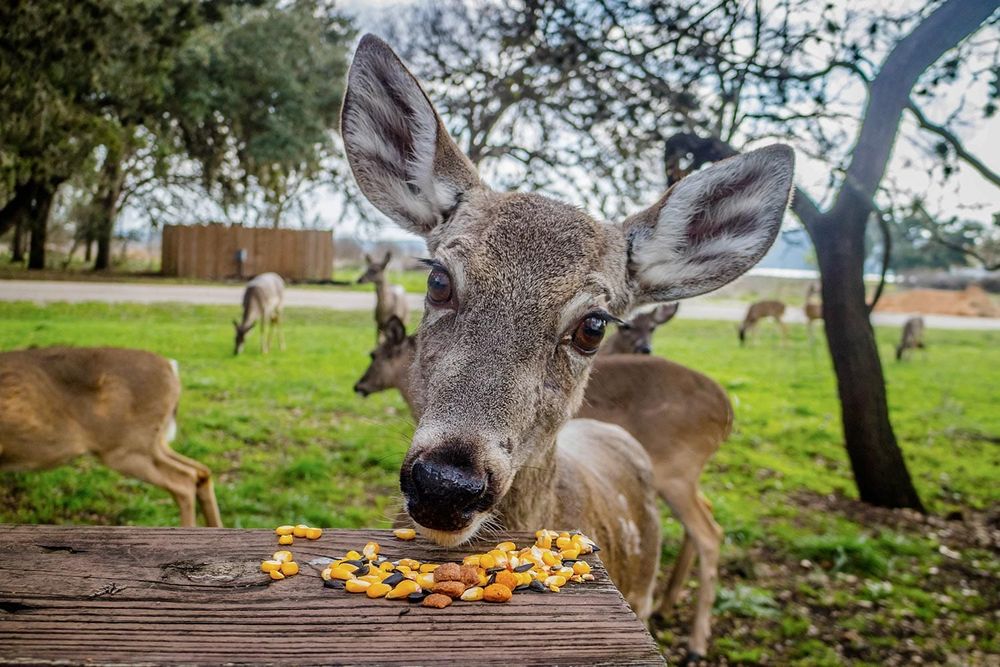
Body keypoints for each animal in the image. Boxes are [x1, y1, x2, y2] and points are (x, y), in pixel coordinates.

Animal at [355, 315, 732, 657]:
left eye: (373, 353)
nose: (359, 386)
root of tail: (728, 413)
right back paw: (670, 606)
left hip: (677, 471)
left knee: (709, 532)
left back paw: (696, 643)